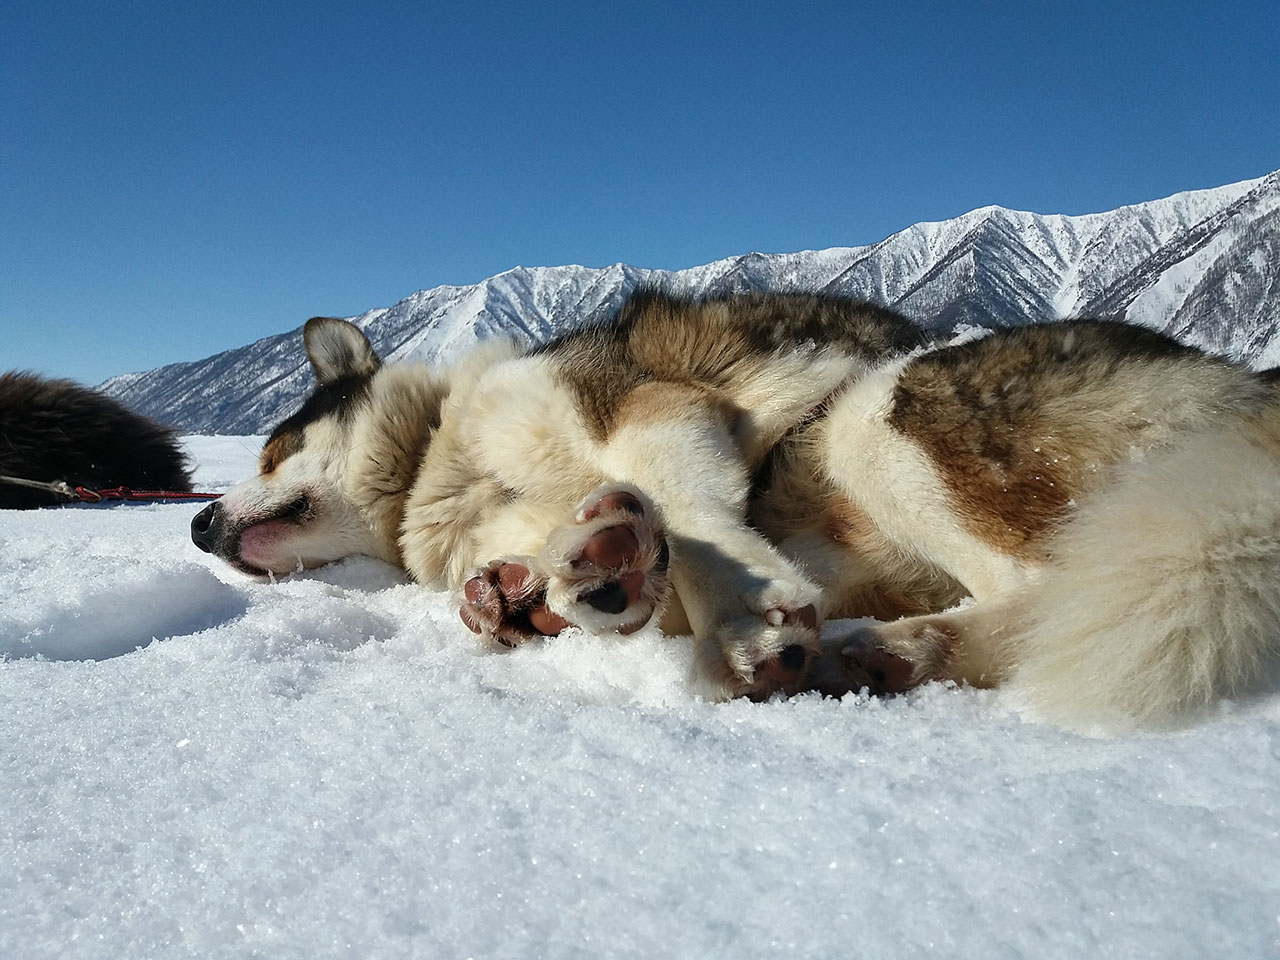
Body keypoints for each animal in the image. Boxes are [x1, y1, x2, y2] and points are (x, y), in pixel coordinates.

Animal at [189, 293, 1280, 727]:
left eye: (272, 450)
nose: (196, 523)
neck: (435, 462)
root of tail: (1239, 390)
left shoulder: (652, 406)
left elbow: (680, 505)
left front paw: (744, 615)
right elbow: (597, 563)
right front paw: (533, 593)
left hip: (878, 415)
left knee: (1048, 585)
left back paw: (901, 645)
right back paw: (892, 651)